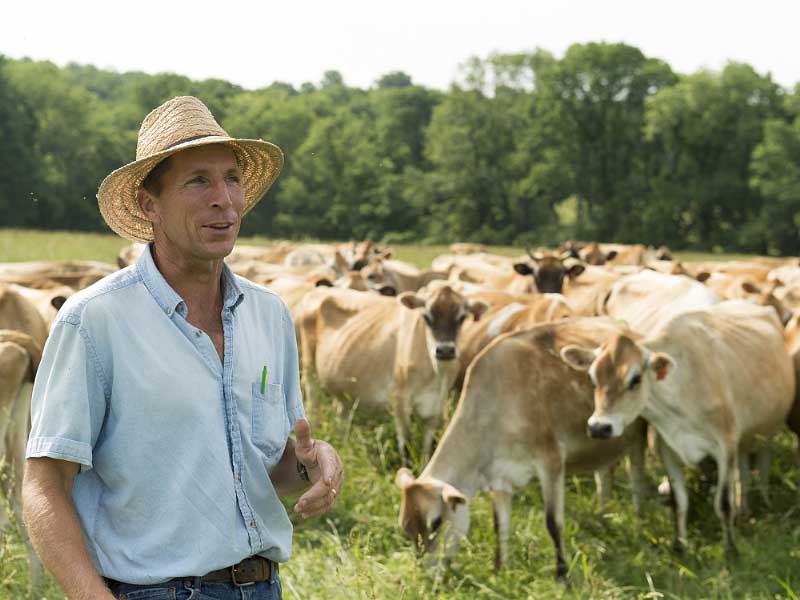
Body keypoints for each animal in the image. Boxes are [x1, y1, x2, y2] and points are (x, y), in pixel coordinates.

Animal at [296, 284, 488, 462]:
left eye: (462, 317)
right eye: (426, 317)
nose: (446, 350)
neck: (435, 374)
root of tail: (322, 288)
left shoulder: (436, 405)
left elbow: (429, 447)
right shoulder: (400, 400)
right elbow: (407, 446)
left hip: (343, 385)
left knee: (341, 415)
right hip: (309, 370)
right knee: (312, 407)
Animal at [396, 318, 648, 576]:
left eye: (435, 522)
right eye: (405, 527)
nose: (425, 573)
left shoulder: (551, 460)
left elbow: (553, 523)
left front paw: (562, 576)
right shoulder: (499, 478)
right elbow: (500, 526)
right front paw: (499, 570)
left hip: (638, 434)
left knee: (637, 478)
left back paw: (639, 523)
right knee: (605, 476)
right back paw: (602, 518)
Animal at [564, 302, 792, 556]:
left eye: (635, 379)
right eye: (592, 377)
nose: (599, 427)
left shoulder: (725, 447)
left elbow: (723, 503)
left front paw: (730, 550)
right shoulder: (668, 449)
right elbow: (680, 501)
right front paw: (681, 545)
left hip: (766, 432)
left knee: (761, 462)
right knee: (743, 469)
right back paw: (743, 510)